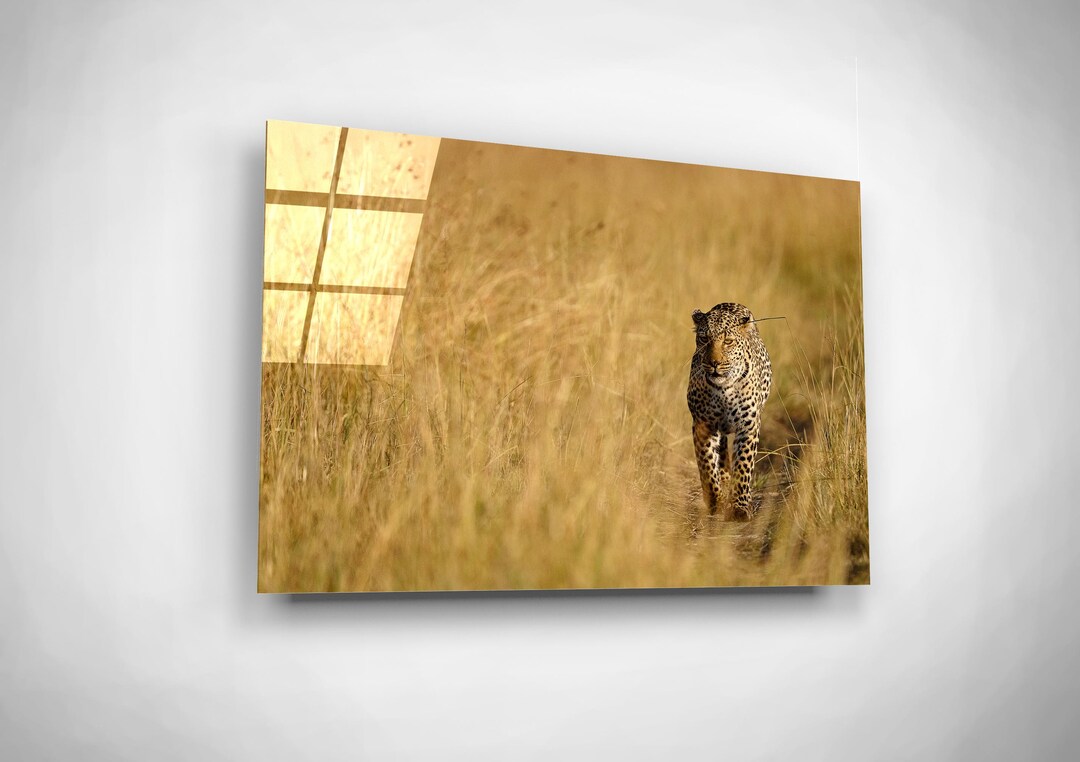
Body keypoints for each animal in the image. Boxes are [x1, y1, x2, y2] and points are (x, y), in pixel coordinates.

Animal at [686, 302, 772, 520]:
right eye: (704, 339)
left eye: (728, 342)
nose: (714, 363)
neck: (724, 389)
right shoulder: (703, 425)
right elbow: (707, 466)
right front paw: (716, 502)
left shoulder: (748, 426)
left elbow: (743, 466)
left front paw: (740, 507)